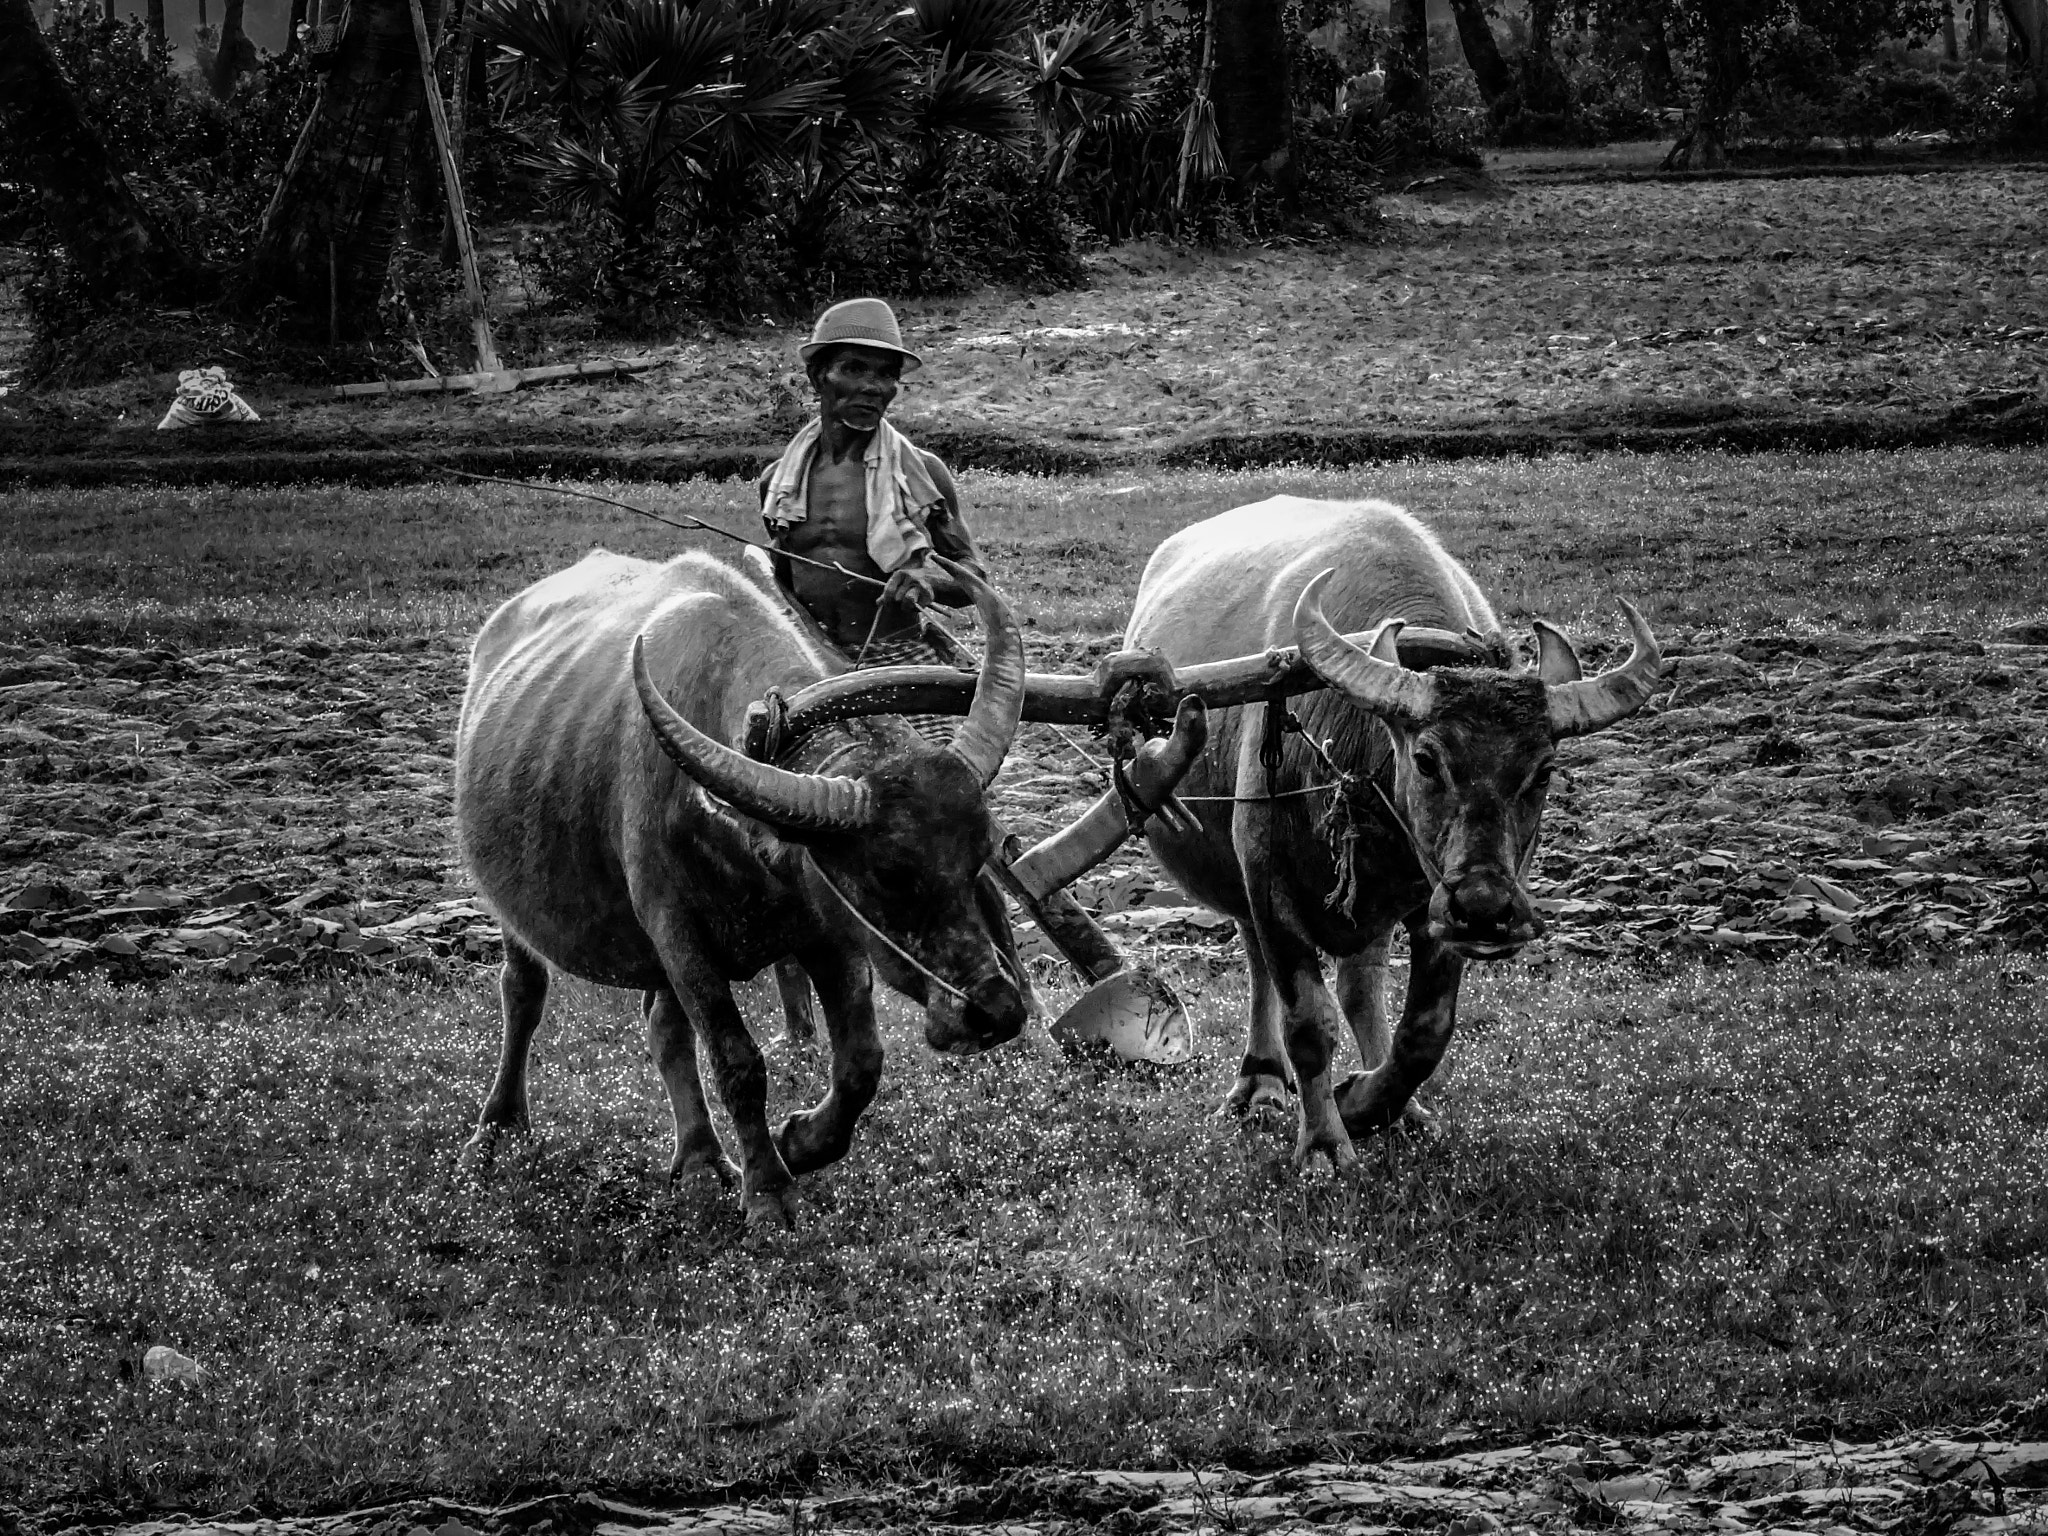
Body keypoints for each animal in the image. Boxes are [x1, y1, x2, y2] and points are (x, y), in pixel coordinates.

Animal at [1122, 501, 1662, 1163]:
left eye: (1543, 771)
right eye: (1426, 760)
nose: (1486, 909)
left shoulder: (1433, 905)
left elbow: (1425, 1030)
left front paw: (1364, 1101)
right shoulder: (1271, 884)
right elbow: (1309, 1020)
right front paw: (1326, 1142)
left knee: (1360, 987)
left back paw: (1402, 1112)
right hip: (1243, 876)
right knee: (1259, 964)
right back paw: (1260, 1082)